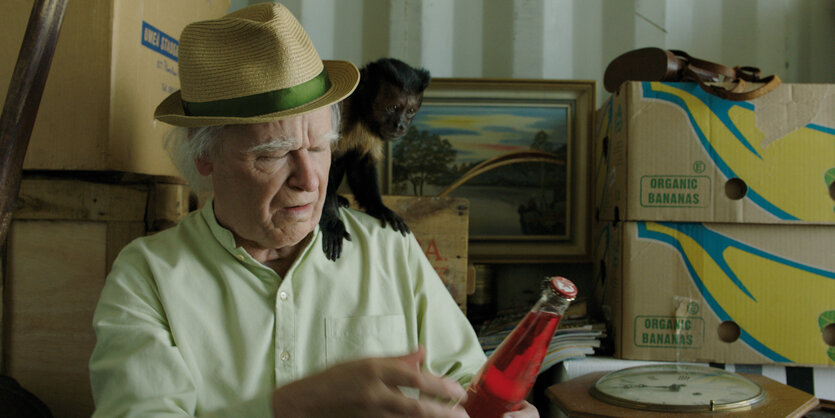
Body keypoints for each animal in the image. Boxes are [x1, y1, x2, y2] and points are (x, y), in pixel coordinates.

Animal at [320, 58, 432, 262]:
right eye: (393, 107)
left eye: (410, 111)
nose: (400, 125)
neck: (359, 109)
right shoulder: (338, 108)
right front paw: (331, 221)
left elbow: (361, 163)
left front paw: (380, 208)